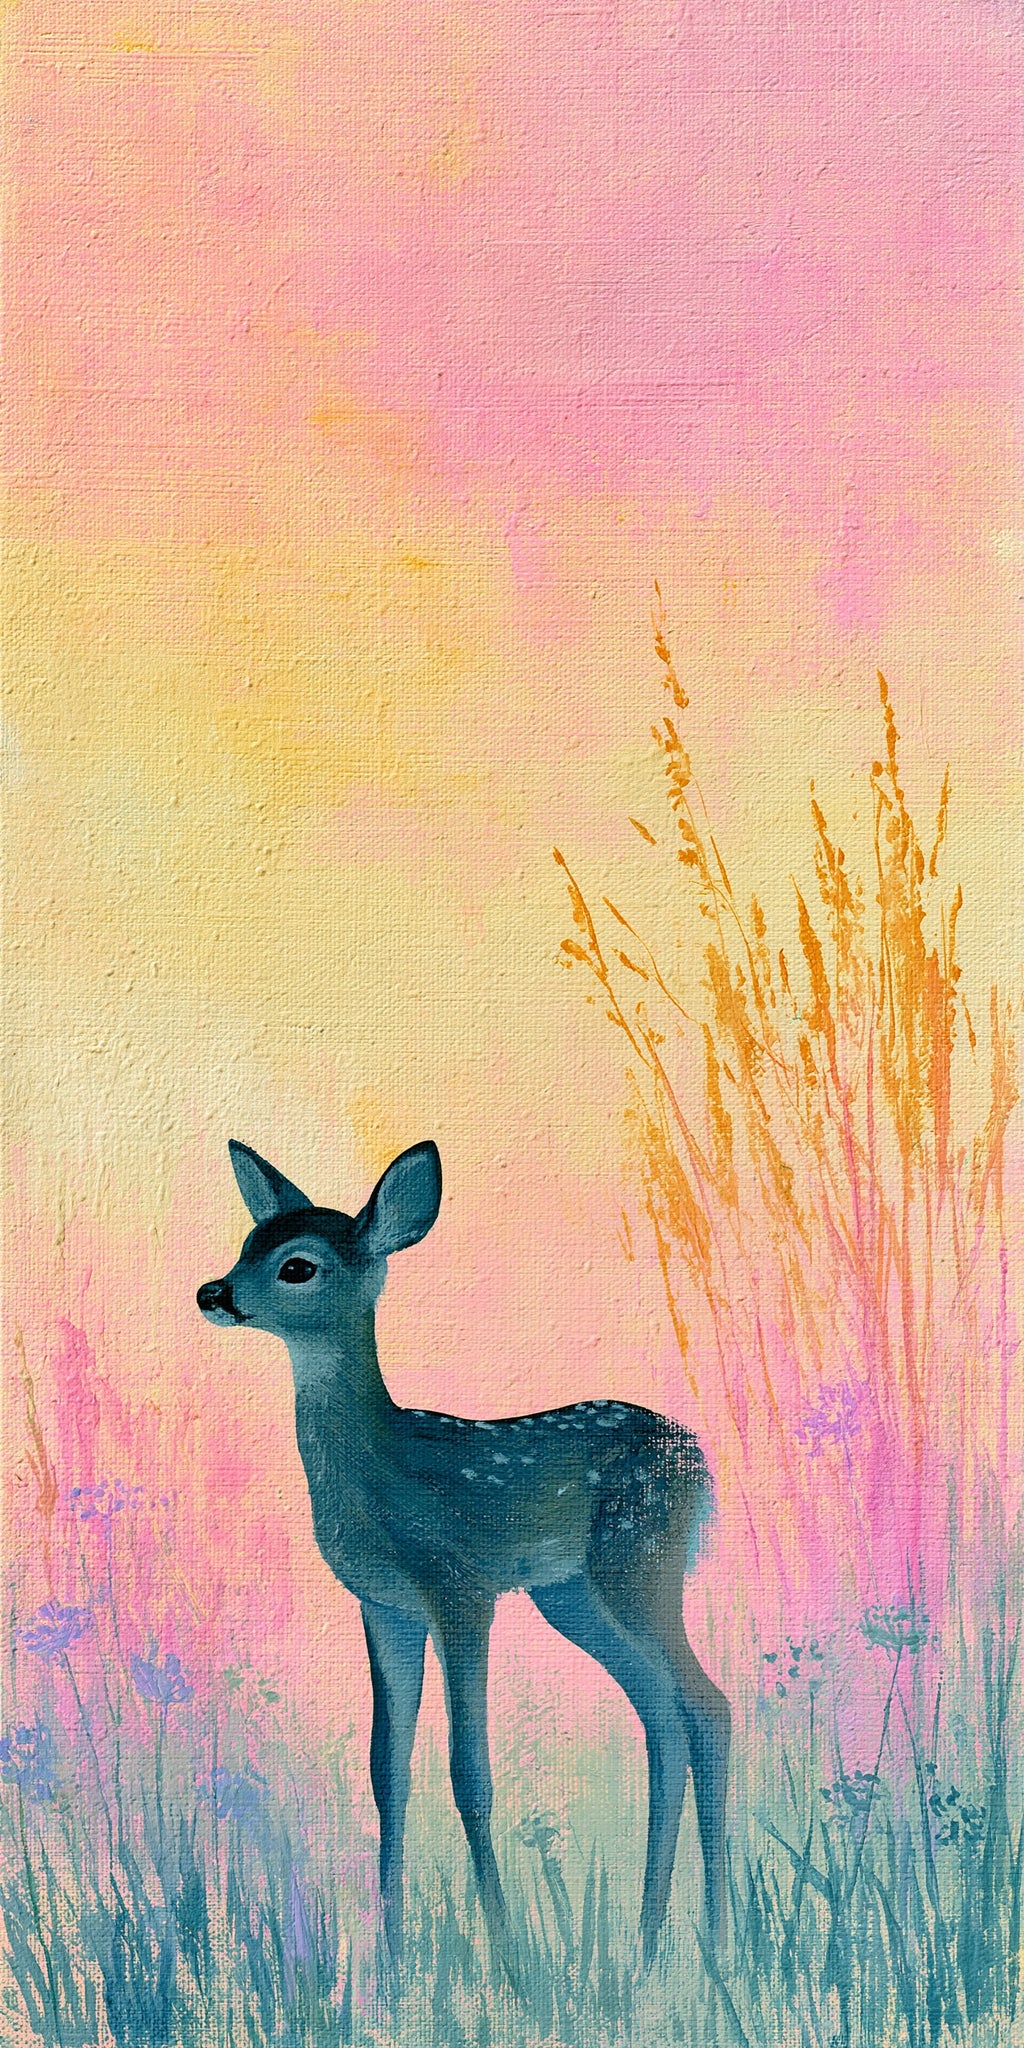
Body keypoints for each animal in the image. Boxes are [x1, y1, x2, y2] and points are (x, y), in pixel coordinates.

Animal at [197, 1139, 729, 1978]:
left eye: (297, 1266)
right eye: (249, 1243)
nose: (212, 1292)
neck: (381, 1473)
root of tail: (699, 1459)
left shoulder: (460, 1589)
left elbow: (469, 1771)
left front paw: (509, 1958)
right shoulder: (384, 1605)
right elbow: (387, 1769)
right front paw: (390, 1960)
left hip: (640, 1563)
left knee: (707, 1707)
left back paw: (717, 1941)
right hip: (572, 1595)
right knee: (661, 1714)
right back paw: (646, 1948)